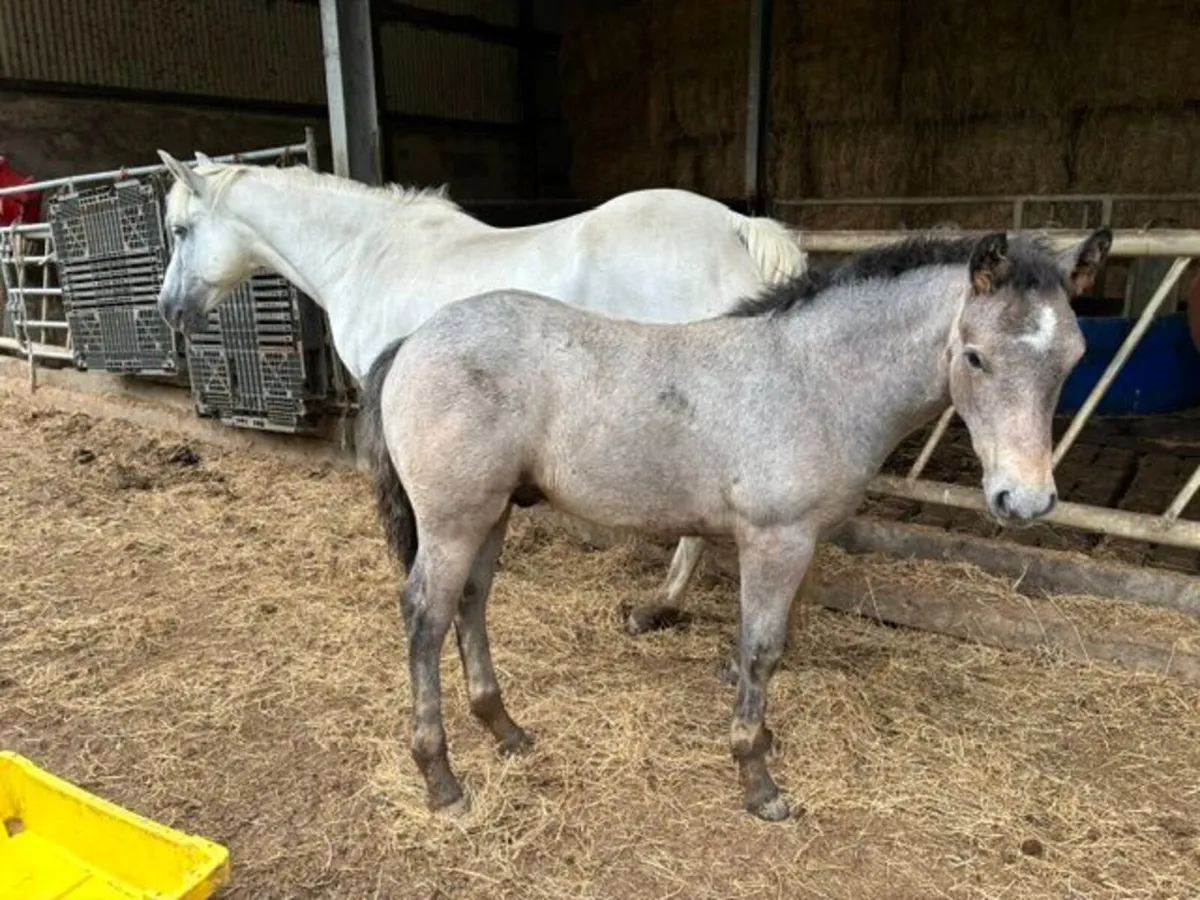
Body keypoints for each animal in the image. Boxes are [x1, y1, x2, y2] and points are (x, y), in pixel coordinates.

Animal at [358, 227, 1111, 821]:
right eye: (976, 355)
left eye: (1074, 358)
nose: (1026, 500)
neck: (815, 380)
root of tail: (413, 340)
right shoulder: (776, 537)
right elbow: (760, 648)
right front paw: (758, 780)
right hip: (453, 520)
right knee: (426, 615)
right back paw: (443, 782)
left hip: (490, 514)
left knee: (471, 603)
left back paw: (506, 731)